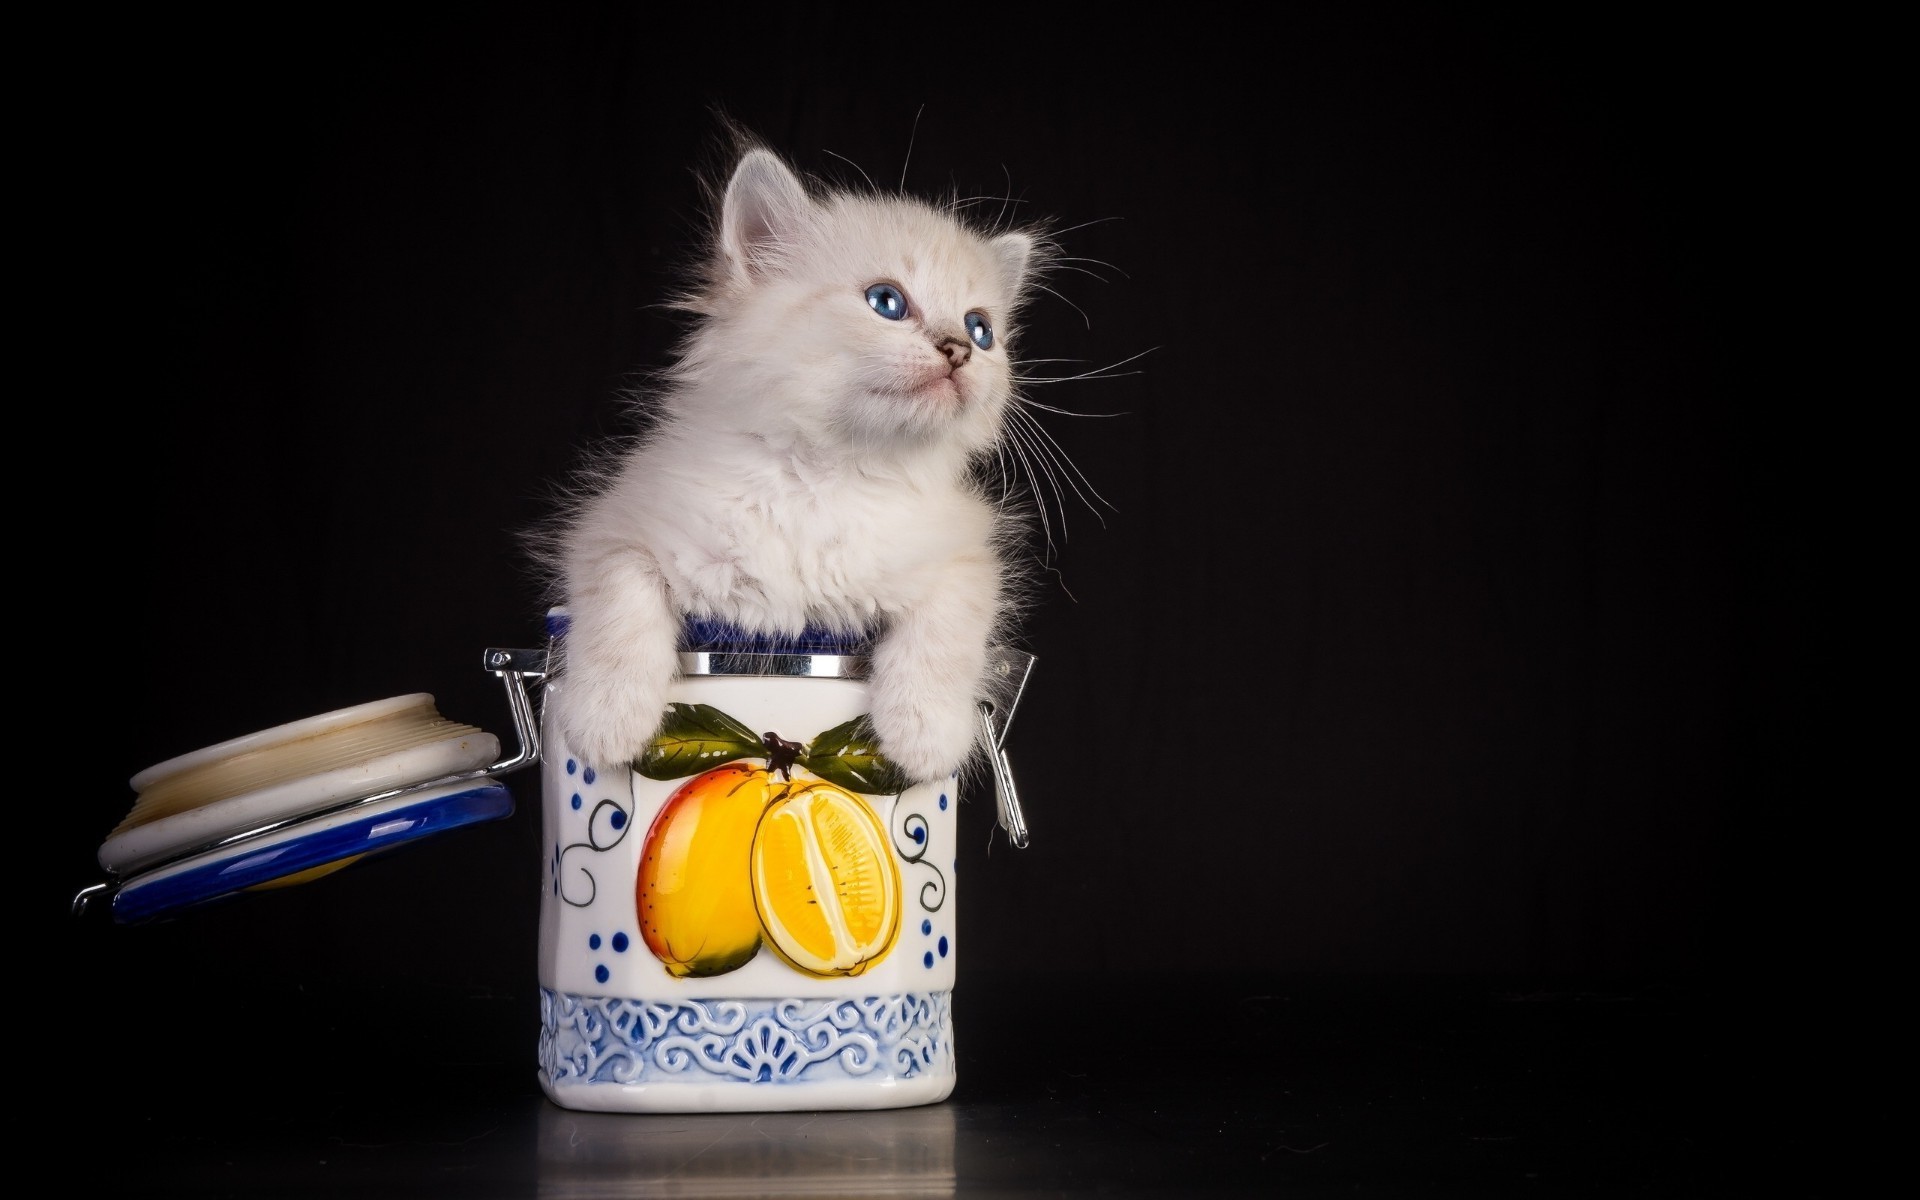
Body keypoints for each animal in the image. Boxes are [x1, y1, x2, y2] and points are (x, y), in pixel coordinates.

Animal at [537, 133, 1052, 787]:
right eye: (887, 302)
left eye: (981, 329)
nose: (959, 349)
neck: (825, 475)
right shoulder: (616, 525)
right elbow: (618, 611)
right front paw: (607, 718)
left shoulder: (965, 555)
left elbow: (946, 632)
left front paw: (924, 733)